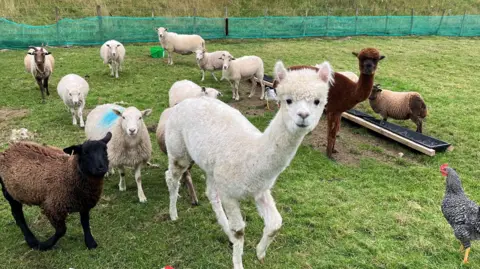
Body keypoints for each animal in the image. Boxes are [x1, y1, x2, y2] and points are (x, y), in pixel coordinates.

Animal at [163, 59, 332, 266]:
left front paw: (260, 252)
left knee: (211, 193)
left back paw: (225, 231)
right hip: (178, 147)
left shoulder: (260, 190)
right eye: (288, 100)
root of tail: (184, 102)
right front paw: (238, 263)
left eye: (317, 101)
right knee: (171, 177)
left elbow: (275, 223)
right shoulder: (230, 193)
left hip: (212, 167)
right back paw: (173, 214)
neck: (251, 155)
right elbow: (240, 231)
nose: (303, 116)